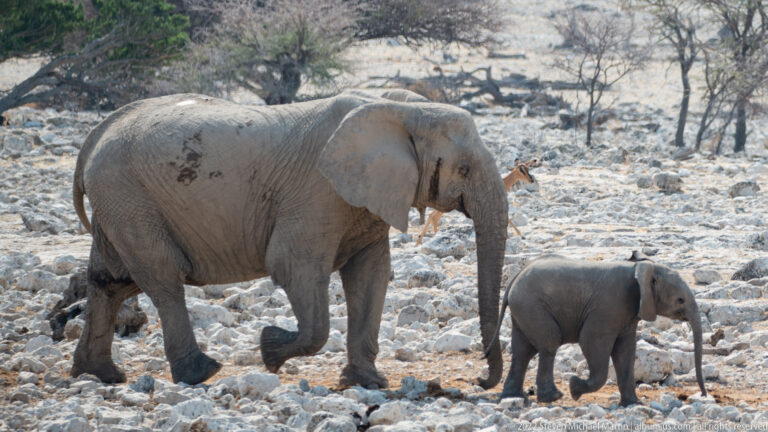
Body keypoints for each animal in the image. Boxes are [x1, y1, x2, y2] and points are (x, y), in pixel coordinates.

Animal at [70, 89, 508, 389]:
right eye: (464, 169)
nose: (480, 380)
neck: (400, 109)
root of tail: (95, 135)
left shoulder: (364, 201)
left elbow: (370, 275)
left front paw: (368, 383)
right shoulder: (317, 191)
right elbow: (294, 267)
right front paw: (269, 350)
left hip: (120, 203)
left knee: (109, 281)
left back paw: (100, 374)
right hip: (129, 197)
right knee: (162, 279)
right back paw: (200, 373)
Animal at [487, 254, 706, 406]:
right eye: (680, 300)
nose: (703, 395)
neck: (641, 268)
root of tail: (514, 279)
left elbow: (626, 352)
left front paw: (633, 404)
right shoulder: (608, 306)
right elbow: (591, 341)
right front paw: (574, 388)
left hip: (524, 309)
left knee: (523, 351)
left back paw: (514, 397)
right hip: (532, 306)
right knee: (549, 343)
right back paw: (553, 397)